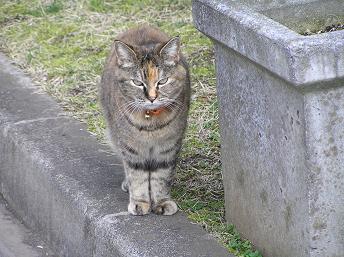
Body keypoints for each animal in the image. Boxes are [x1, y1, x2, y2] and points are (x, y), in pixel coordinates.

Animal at [99, 25, 191, 214]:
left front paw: (162, 201)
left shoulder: (167, 148)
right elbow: (137, 175)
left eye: (162, 81)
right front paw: (140, 202)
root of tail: (141, 26)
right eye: (137, 82)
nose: (152, 98)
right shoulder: (131, 149)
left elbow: (161, 176)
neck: (151, 125)